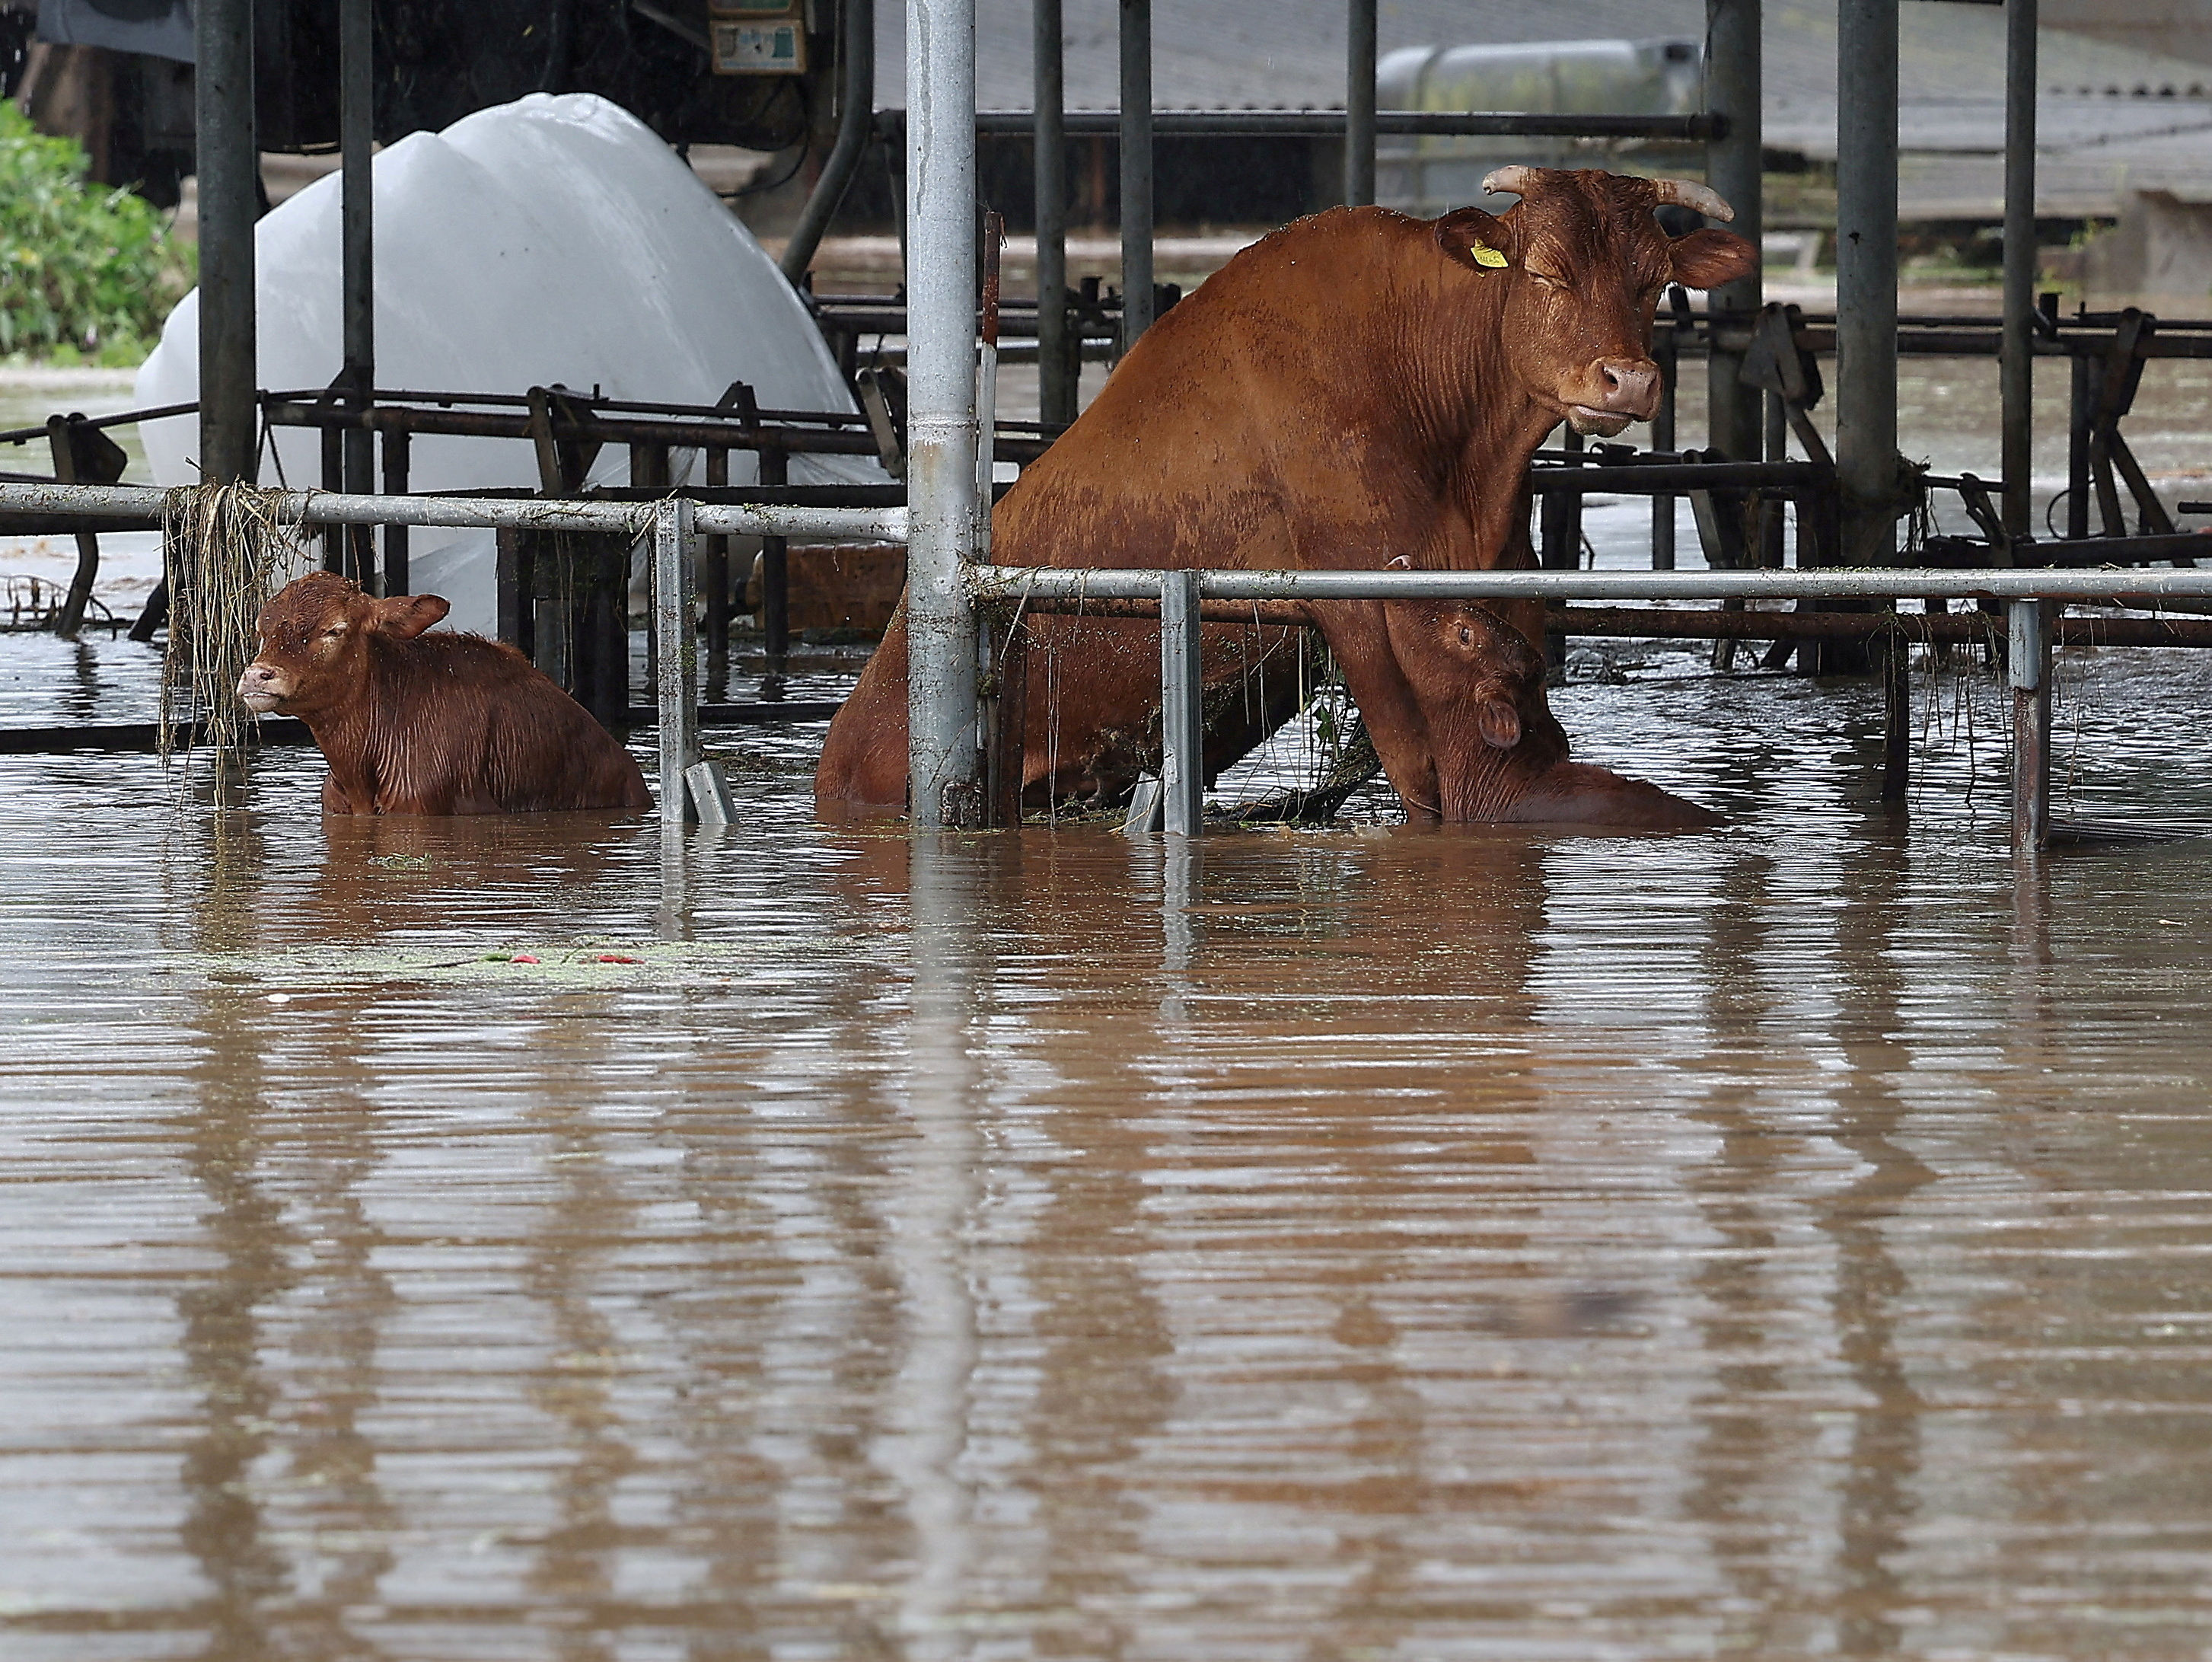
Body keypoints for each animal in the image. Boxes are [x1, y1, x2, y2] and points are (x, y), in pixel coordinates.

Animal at [818, 166, 1761, 828]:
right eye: (1546, 272)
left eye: (1653, 280)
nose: (1627, 378)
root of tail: (839, 746)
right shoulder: (1351, 599)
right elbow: (1420, 779)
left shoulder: (1503, 578)